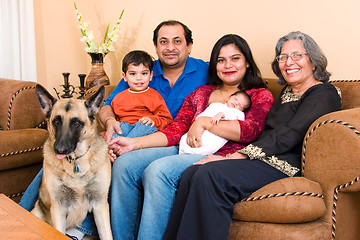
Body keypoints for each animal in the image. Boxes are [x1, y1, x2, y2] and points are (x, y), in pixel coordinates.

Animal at [31, 85, 112, 239]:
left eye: (76, 123)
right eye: (56, 121)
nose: (59, 149)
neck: (76, 163)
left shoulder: (100, 206)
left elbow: (107, 235)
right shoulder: (58, 209)